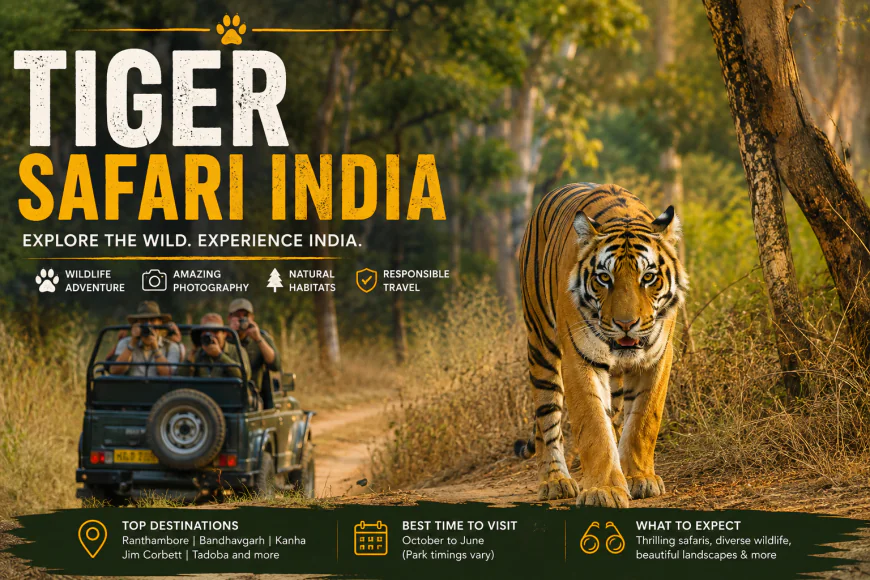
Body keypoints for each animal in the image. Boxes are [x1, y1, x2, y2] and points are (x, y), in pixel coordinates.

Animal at [516, 182, 687, 507]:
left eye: (648, 277)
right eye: (604, 278)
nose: (625, 324)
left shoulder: (658, 357)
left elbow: (644, 420)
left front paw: (638, 478)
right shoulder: (579, 358)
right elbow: (594, 424)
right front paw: (603, 490)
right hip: (540, 344)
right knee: (547, 419)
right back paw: (555, 481)